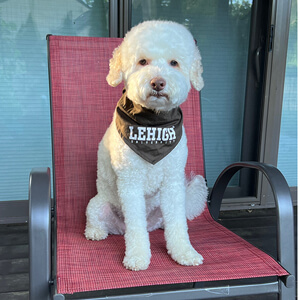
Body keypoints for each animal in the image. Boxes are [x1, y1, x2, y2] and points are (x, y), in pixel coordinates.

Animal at [84, 19, 206, 270]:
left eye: (174, 63)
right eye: (142, 62)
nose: (158, 82)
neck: (154, 124)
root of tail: (119, 229)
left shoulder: (173, 182)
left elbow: (178, 225)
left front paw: (183, 252)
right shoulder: (130, 183)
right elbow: (136, 227)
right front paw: (137, 256)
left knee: (166, 222)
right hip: (98, 205)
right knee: (99, 221)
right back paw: (95, 232)